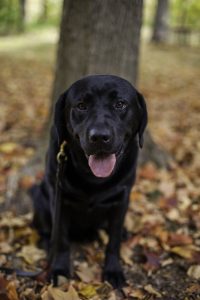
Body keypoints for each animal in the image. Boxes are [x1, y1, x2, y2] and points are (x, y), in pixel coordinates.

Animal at [30, 75, 148, 288]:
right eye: (81, 105)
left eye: (120, 104)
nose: (99, 136)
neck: (93, 178)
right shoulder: (59, 197)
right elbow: (61, 239)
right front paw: (59, 270)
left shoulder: (122, 197)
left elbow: (114, 241)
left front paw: (113, 270)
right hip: (38, 195)